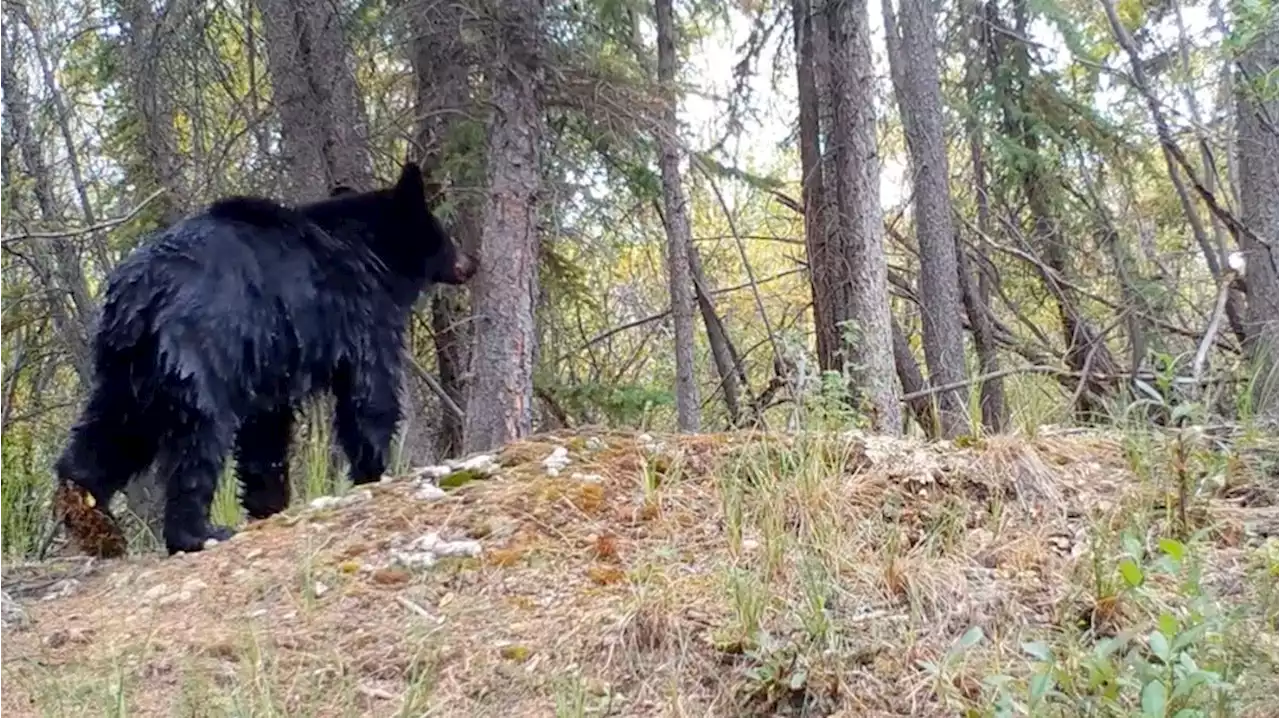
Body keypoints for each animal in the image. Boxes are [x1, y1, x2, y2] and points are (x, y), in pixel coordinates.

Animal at [52, 165, 478, 558]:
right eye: (444, 233)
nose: (470, 262)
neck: (373, 254)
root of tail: (139, 291)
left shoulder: (270, 358)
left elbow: (265, 430)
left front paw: (267, 502)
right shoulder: (361, 316)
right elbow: (370, 392)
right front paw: (373, 471)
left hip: (125, 367)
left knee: (112, 430)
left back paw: (88, 512)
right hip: (198, 353)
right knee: (198, 441)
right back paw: (198, 533)